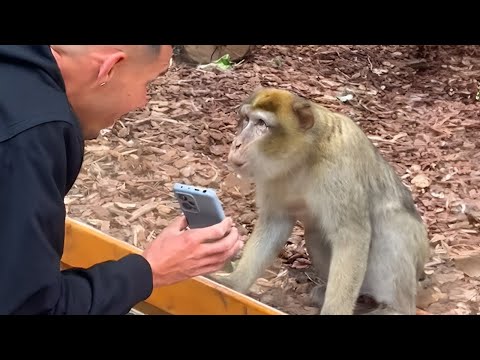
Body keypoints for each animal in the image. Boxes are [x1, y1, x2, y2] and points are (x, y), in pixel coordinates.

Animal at [207, 86, 432, 316]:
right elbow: (275, 222)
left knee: (392, 229)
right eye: (245, 119)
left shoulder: (338, 168)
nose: (237, 143)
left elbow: (351, 237)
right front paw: (234, 283)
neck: (305, 156)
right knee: (314, 233)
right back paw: (359, 300)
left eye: (261, 123)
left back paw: (396, 308)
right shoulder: (272, 177)